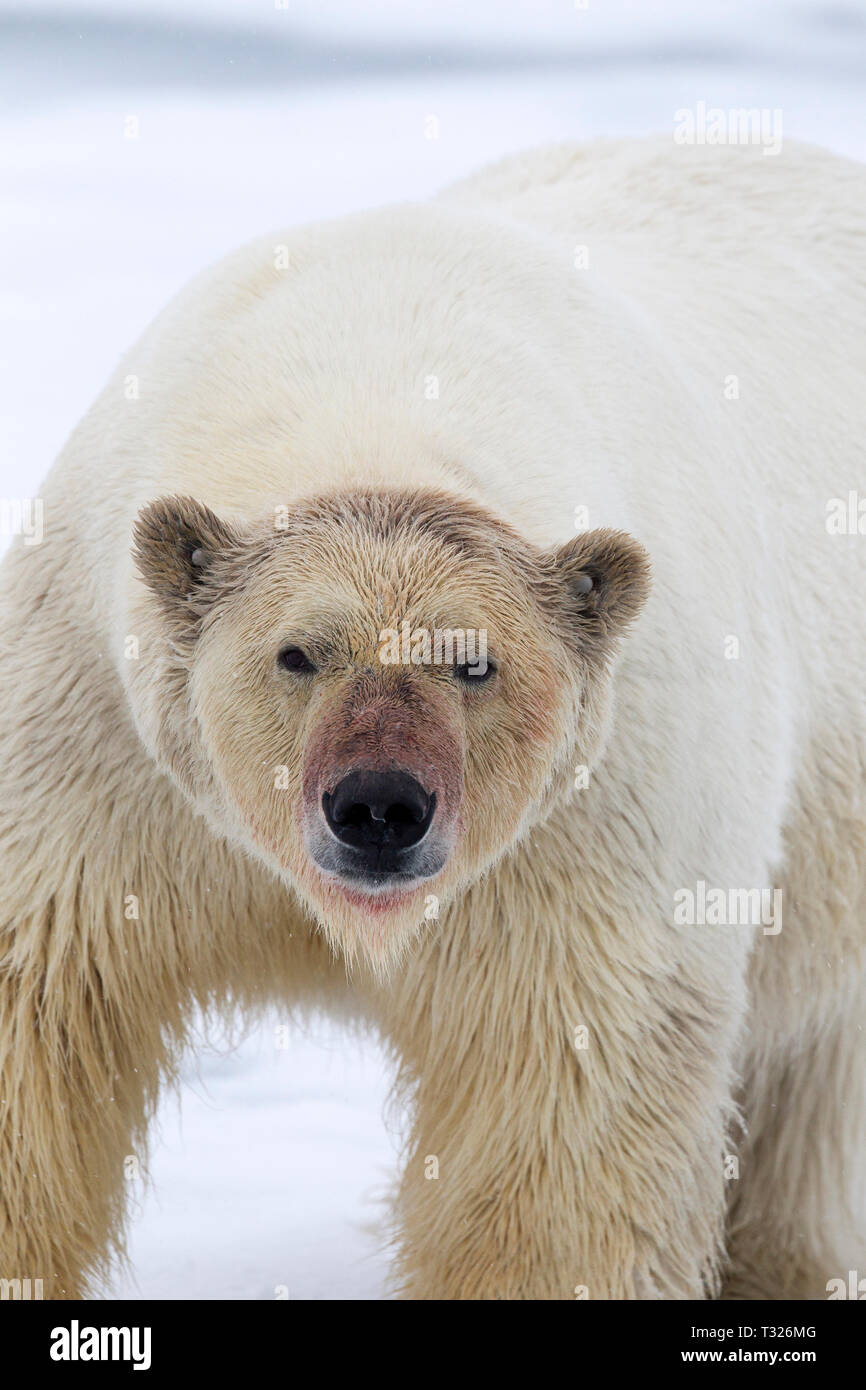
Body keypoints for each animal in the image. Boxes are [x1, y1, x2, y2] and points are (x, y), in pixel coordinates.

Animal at [1, 135, 866, 1295]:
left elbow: (564, 1102)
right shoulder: (97, 740)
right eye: (297, 652)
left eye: (474, 663)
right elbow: (39, 1011)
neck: (377, 375)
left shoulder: (597, 816)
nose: (378, 806)